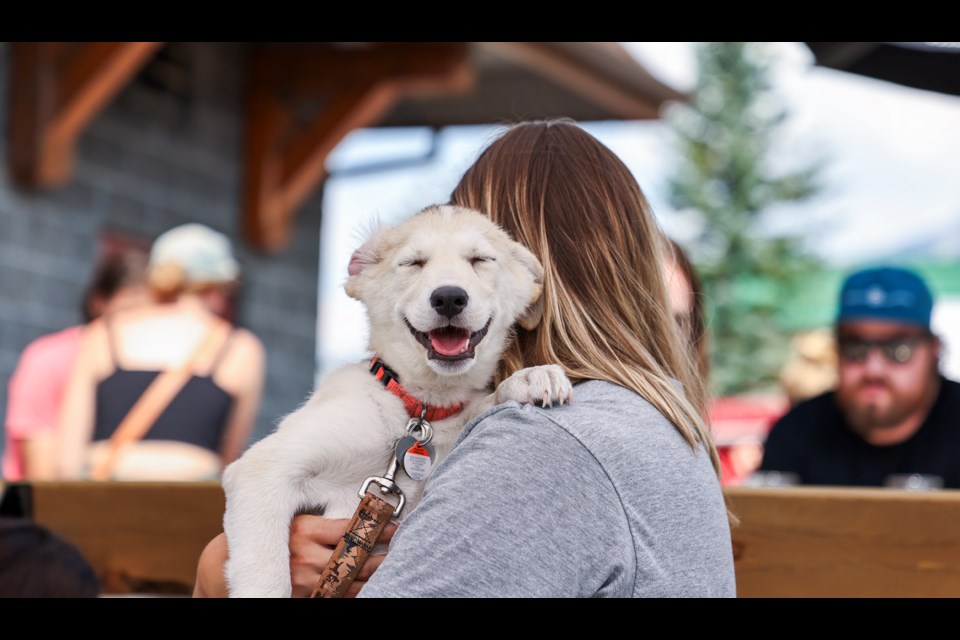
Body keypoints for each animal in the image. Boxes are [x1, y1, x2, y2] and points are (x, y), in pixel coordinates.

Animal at [222, 206, 568, 600]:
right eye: (413, 263)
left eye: (480, 260)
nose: (449, 298)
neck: (420, 410)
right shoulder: (263, 470)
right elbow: (266, 577)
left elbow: (477, 409)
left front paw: (530, 378)